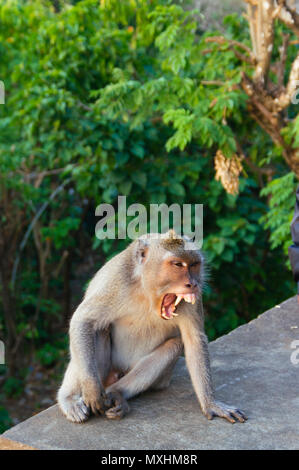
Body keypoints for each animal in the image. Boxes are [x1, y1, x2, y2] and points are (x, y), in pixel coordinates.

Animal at [57, 229, 247, 424]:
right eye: (178, 264)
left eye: (194, 265)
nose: (192, 283)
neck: (147, 291)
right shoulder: (117, 282)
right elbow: (83, 320)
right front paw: (91, 390)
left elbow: (194, 340)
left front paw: (211, 403)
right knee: (98, 329)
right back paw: (69, 398)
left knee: (174, 345)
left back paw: (117, 393)